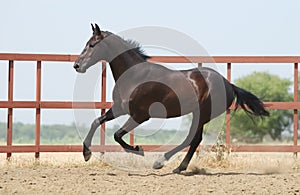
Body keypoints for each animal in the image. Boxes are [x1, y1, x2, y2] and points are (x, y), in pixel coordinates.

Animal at [73, 23, 270, 173]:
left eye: (92, 45)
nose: (77, 65)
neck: (135, 76)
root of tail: (228, 84)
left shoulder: (141, 115)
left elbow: (117, 135)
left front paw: (138, 150)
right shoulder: (120, 109)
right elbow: (97, 122)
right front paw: (86, 154)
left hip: (202, 114)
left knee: (192, 139)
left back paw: (161, 162)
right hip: (198, 114)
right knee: (194, 139)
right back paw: (177, 167)